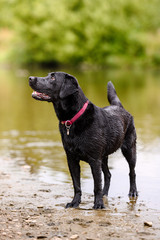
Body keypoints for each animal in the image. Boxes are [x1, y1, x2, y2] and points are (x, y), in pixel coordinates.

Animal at [28, 72, 138, 209]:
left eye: (53, 77)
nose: (30, 78)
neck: (72, 120)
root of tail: (118, 106)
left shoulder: (94, 160)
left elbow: (96, 185)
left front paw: (98, 204)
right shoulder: (72, 159)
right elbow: (76, 184)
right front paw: (75, 202)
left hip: (129, 149)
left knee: (132, 172)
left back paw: (132, 192)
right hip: (104, 157)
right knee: (108, 175)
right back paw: (105, 194)